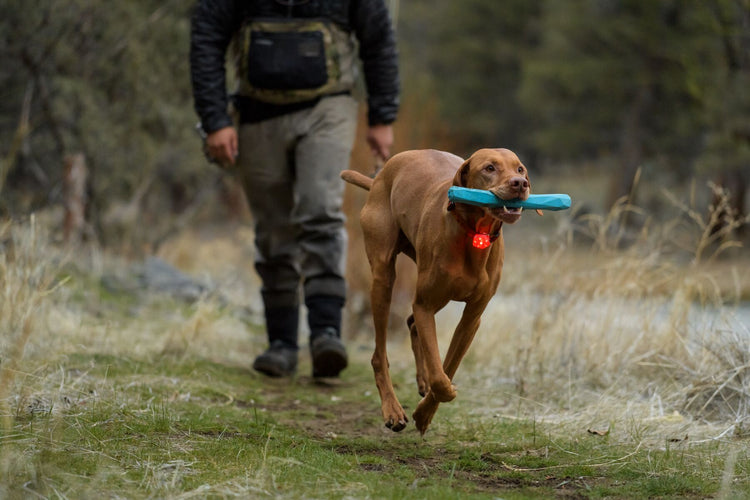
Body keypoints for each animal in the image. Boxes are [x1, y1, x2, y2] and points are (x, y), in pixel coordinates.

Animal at [344, 148, 532, 434]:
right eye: (489, 168)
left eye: (520, 169)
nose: (520, 184)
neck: (474, 233)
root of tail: (381, 175)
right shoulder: (425, 305)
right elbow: (439, 374)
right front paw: (434, 402)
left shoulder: (472, 318)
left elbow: (447, 366)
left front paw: (426, 411)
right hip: (383, 277)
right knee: (379, 354)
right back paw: (392, 409)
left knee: (411, 324)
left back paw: (421, 382)